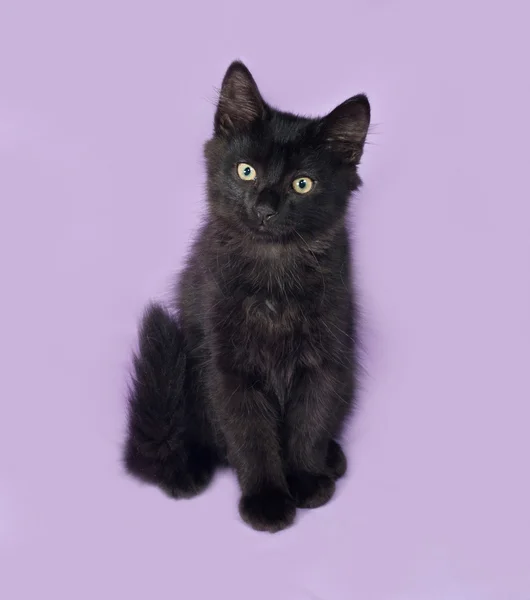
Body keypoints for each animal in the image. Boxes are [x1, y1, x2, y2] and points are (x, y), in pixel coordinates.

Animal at [124, 59, 370, 528]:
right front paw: (268, 500)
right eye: (246, 171)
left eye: (302, 184)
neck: (274, 272)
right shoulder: (227, 366)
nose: (265, 208)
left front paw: (306, 479)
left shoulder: (326, 356)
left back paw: (331, 460)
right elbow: (250, 435)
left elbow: (310, 422)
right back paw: (189, 469)